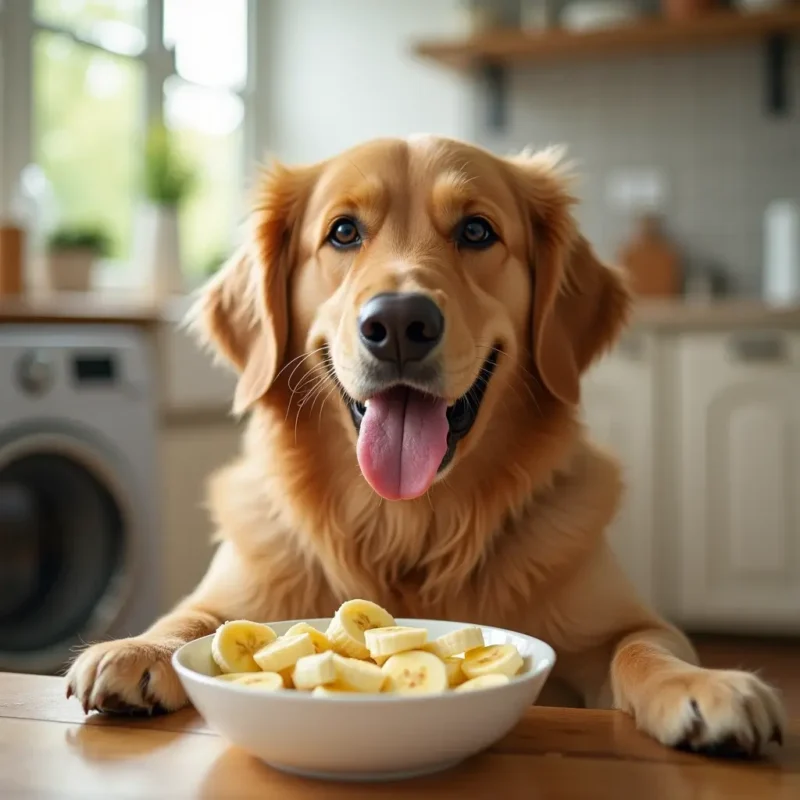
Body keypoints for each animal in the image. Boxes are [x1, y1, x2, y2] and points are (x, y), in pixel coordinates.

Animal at [65, 134, 784, 752]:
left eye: (477, 231)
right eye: (343, 231)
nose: (399, 323)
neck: (408, 527)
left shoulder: (625, 624)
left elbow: (644, 647)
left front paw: (704, 685)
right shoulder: (228, 594)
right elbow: (191, 620)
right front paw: (136, 648)